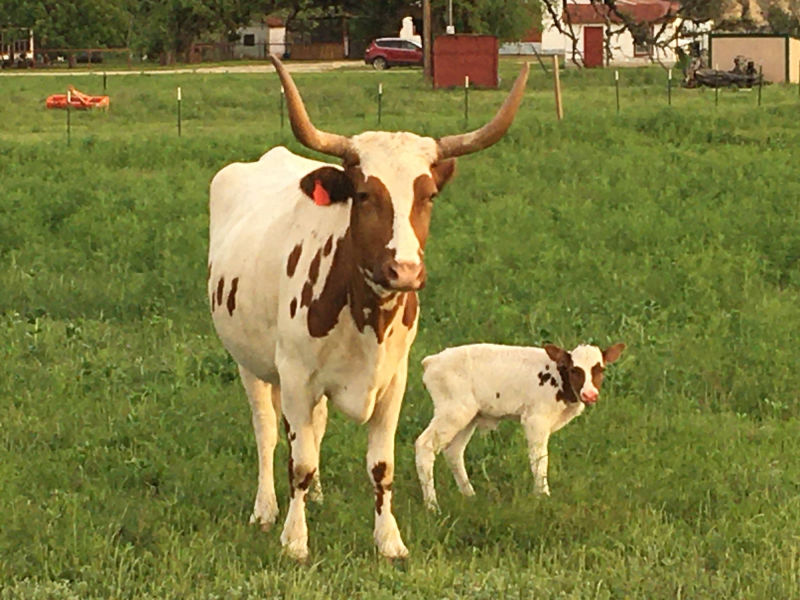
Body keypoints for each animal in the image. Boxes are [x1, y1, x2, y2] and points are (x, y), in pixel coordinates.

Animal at [207, 56, 529, 561]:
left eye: (428, 195)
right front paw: (295, 540)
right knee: (267, 432)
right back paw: (266, 509)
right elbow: (297, 461)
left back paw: (317, 496)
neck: (366, 318)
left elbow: (380, 465)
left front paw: (389, 540)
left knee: (315, 427)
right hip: (251, 363)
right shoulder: (295, 376)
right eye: (363, 194)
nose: (405, 271)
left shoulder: (393, 381)